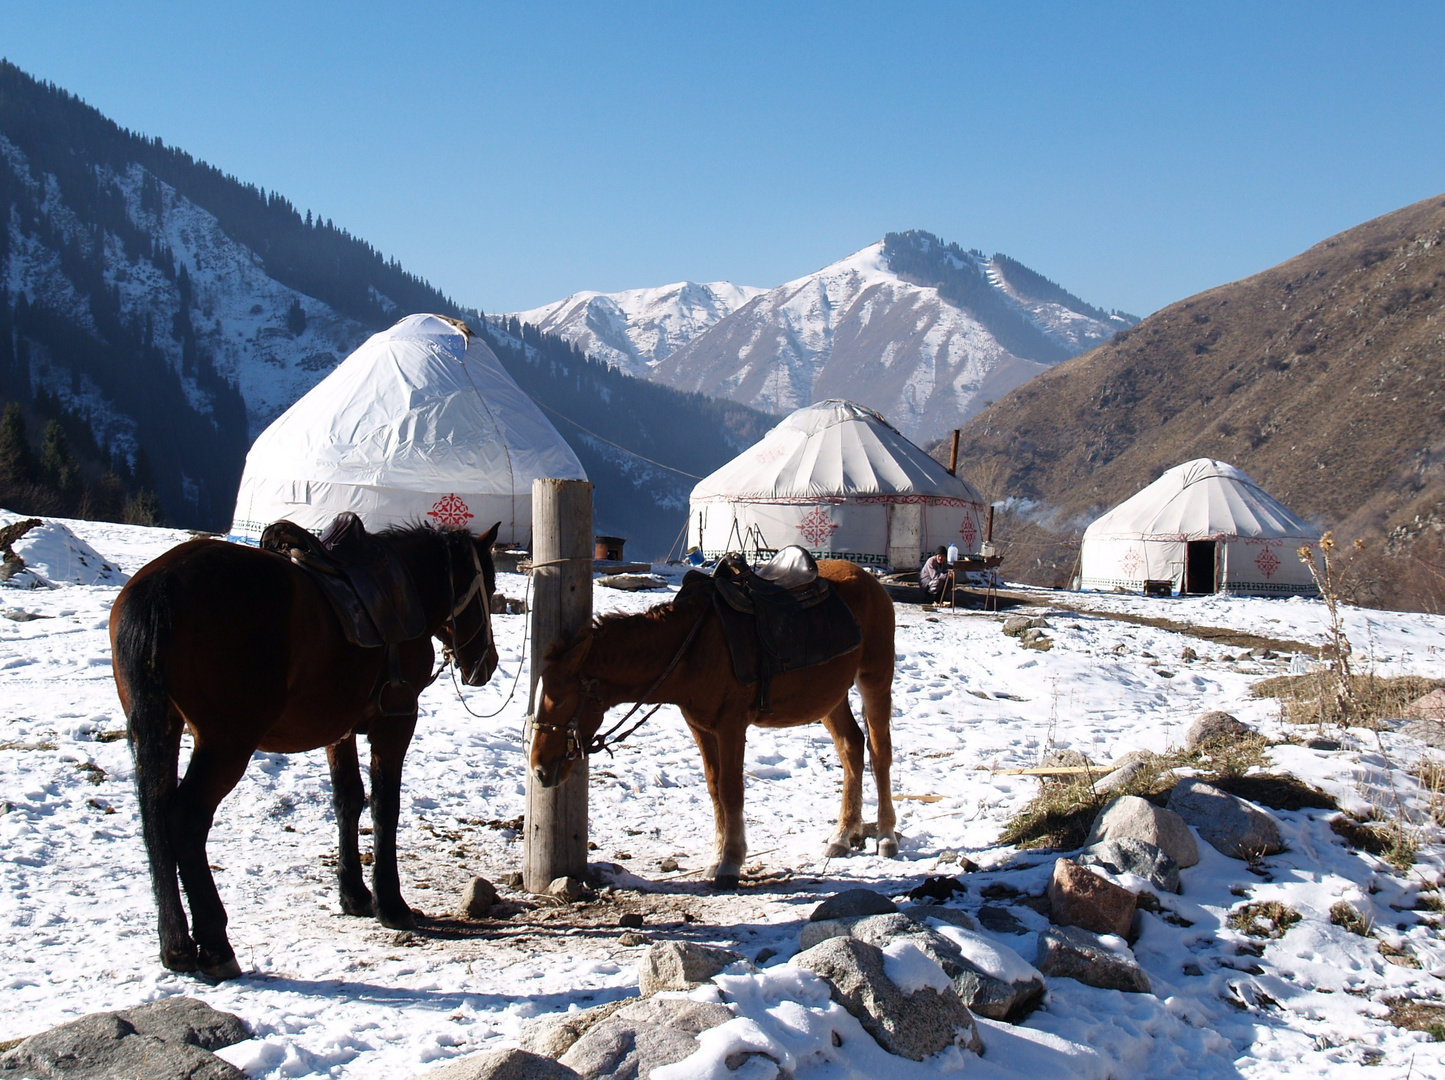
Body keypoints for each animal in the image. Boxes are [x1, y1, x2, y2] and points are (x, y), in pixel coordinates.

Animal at [109, 520, 499, 977]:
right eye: (490, 588)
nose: (487, 663)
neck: (407, 594)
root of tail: (160, 587)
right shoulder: (397, 720)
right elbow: (386, 806)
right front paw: (391, 904)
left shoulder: (339, 729)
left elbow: (348, 800)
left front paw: (354, 895)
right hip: (226, 743)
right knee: (185, 820)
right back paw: (216, 943)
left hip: (162, 728)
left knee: (155, 817)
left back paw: (176, 945)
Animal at [525, 558, 895, 884]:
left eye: (560, 700)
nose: (539, 769)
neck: (691, 649)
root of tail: (869, 580)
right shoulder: (701, 727)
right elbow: (715, 788)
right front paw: (718, 857)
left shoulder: (731, 725)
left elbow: (731, 791)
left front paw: (730, 863)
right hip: (829, 697)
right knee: (851, 747)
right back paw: (843, 834)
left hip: (875, 679)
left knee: (879, 752)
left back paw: (886, 835)